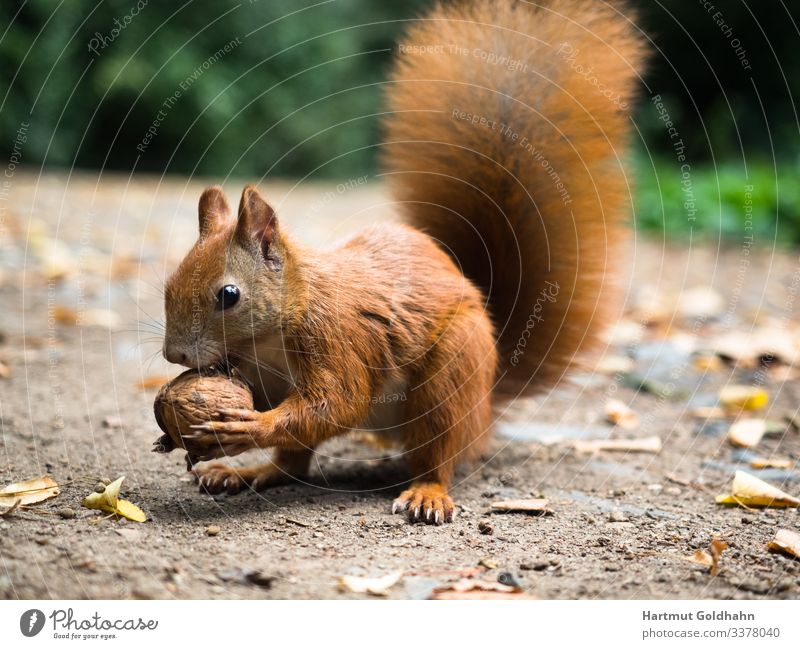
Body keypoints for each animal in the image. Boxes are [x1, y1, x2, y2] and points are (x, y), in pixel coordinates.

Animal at [162, 0, 644, 524]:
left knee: (437, 451)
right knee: (292, 463)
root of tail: (484, 409)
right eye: (167, 285)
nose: (174, 356)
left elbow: (338, 402)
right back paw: (250, 474)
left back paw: (427, 493)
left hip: (449, 376)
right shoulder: (260, 372)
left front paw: (247, 428)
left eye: (229, 295)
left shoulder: (339, 336)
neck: (271, 335)